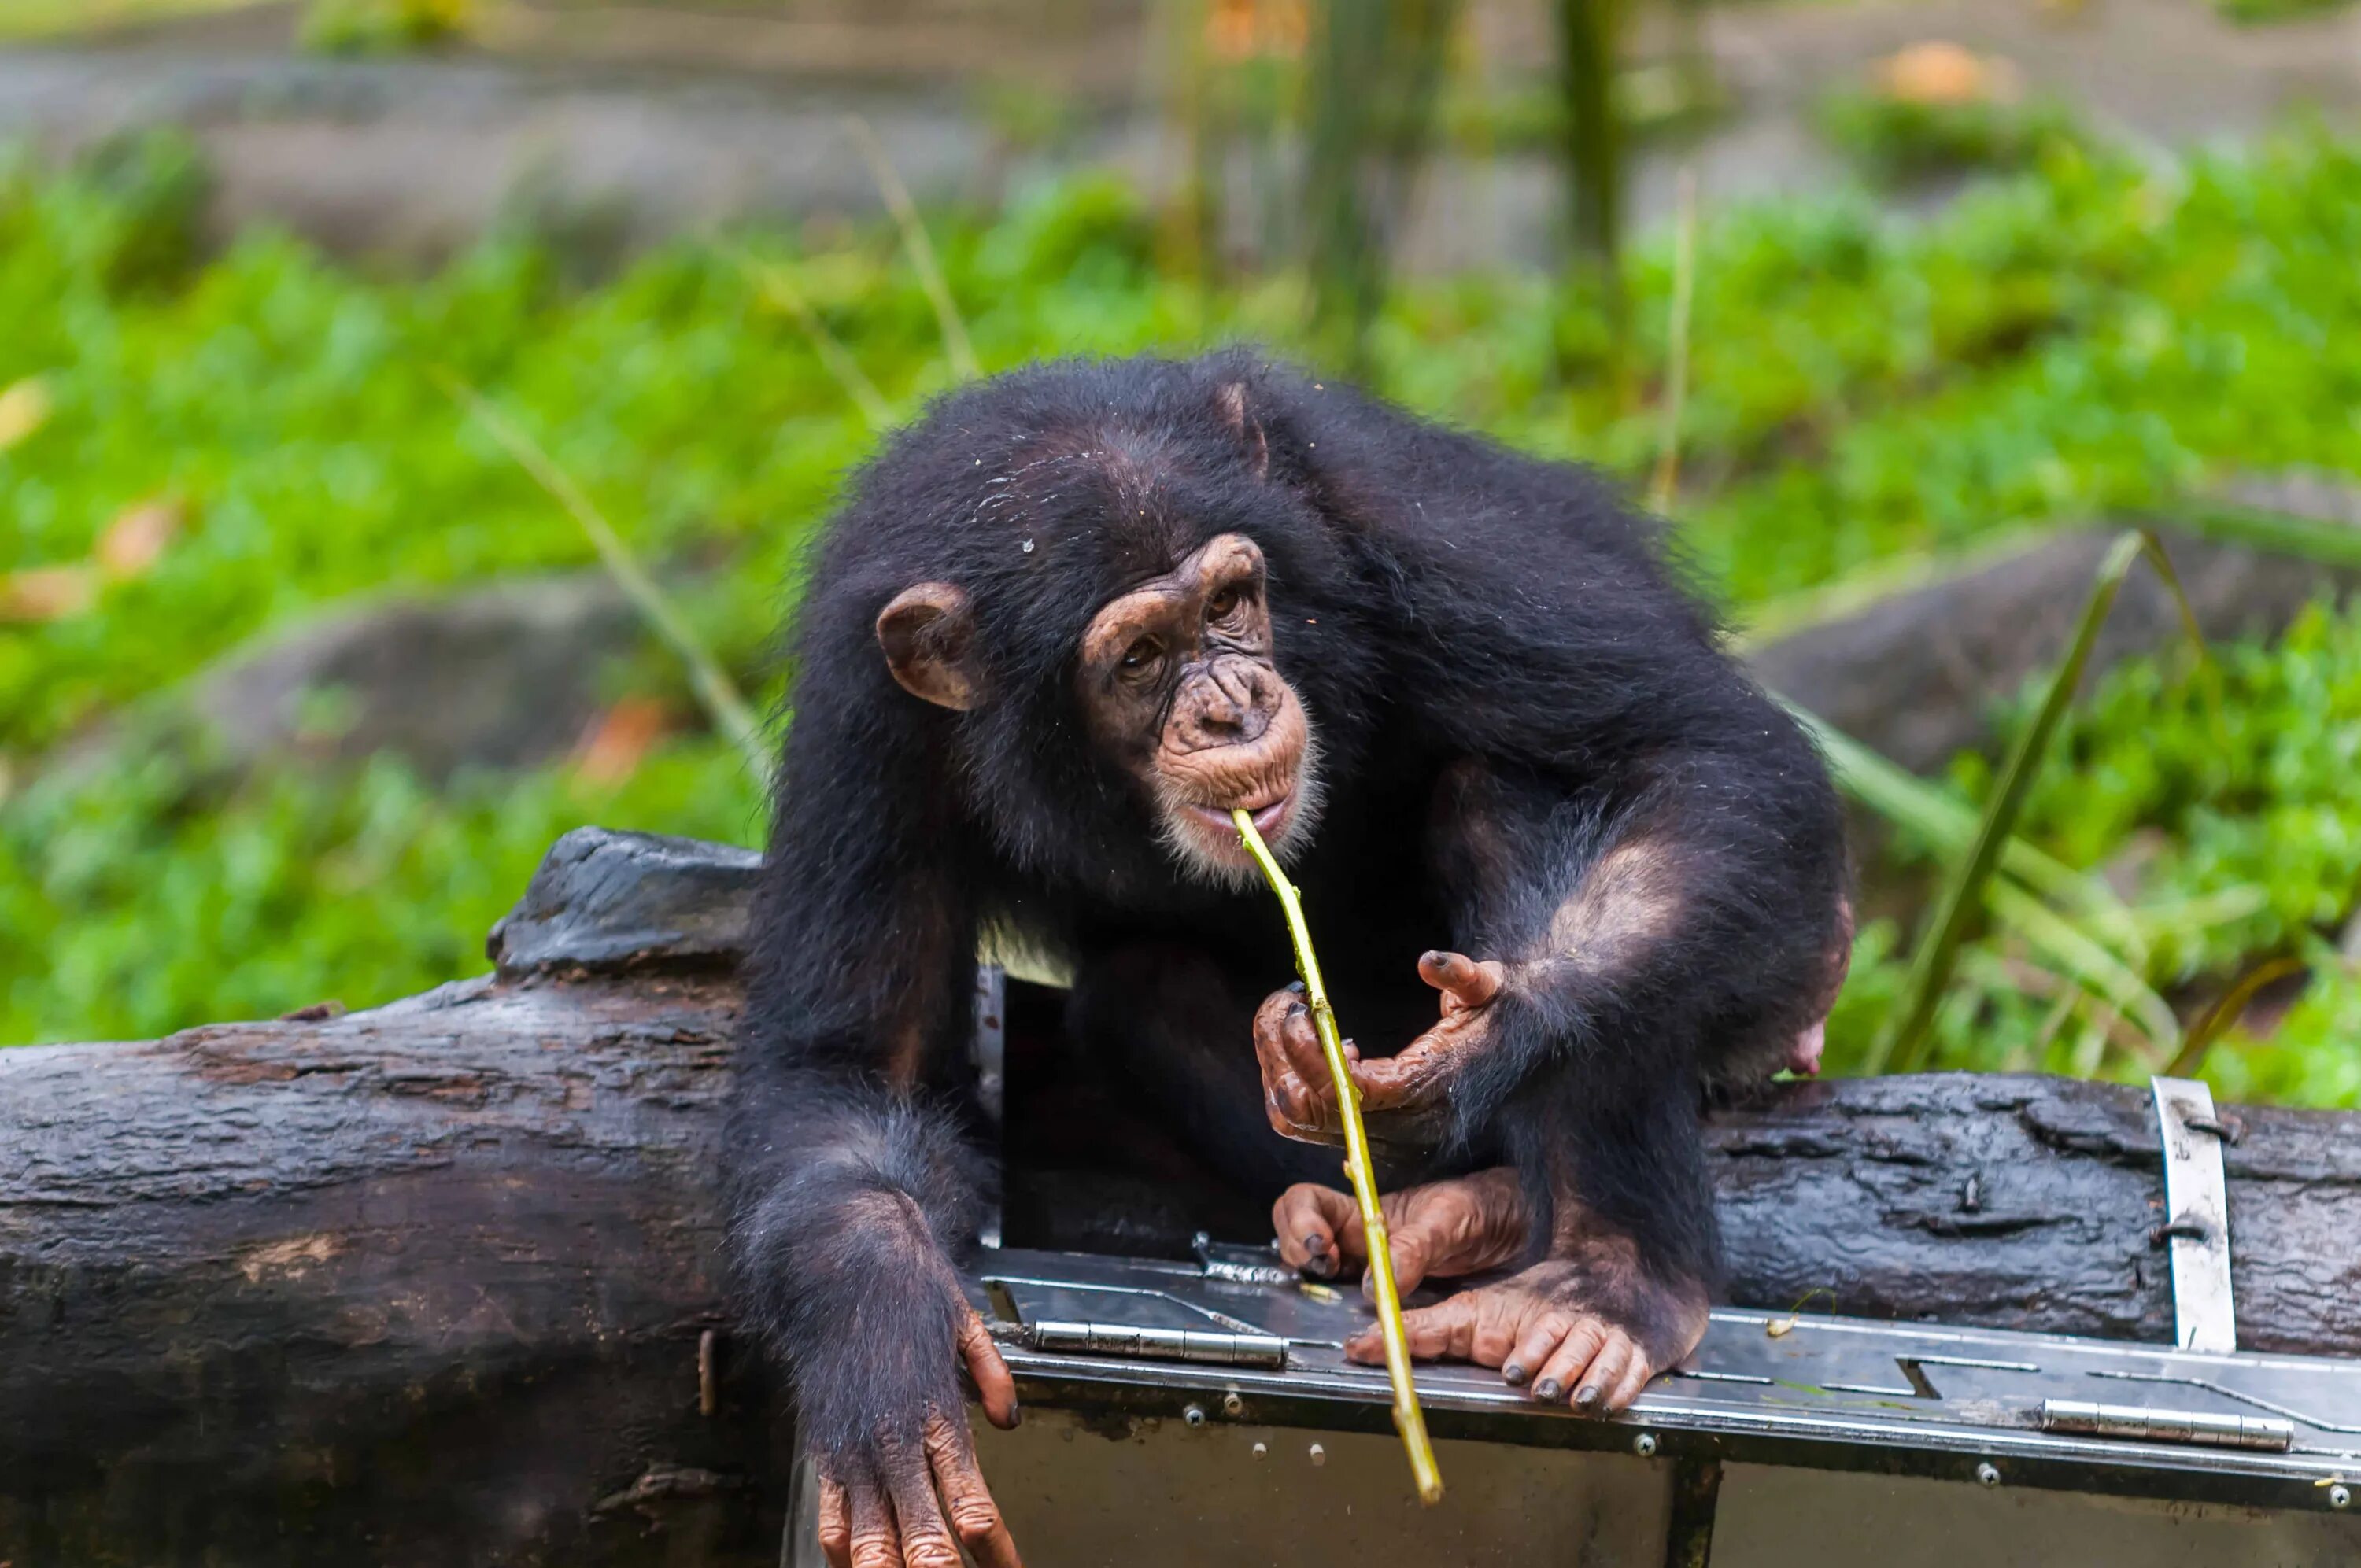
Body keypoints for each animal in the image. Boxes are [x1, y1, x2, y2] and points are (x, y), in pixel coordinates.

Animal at [727, 352, 1851, 1568]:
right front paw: (883, 1341)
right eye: (1139, 658)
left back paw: (1604, 1281)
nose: (1232, 703)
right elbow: (850, 1072)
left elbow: (1702, 750)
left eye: (1227, 604)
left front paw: (1478, 1044)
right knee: (1141, 992)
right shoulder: (867, 717)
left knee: (1512, 798)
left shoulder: (1405, 527)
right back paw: (1422, 1213)